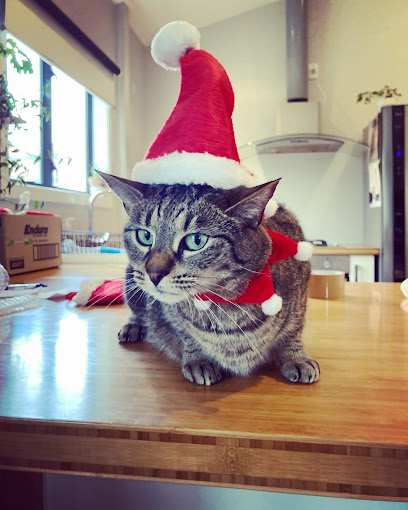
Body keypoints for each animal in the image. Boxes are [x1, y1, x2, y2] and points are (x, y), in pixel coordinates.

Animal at [100, 171, 320, 386]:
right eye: (145, 236)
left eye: (196, 241)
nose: (154, 273)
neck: (224, 304)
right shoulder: (174, 318)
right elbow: (187, 334)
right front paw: (199, 360)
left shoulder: (301, 293)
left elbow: (293, 331)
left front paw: (297, 357)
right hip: (131, 283)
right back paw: (133, 326)